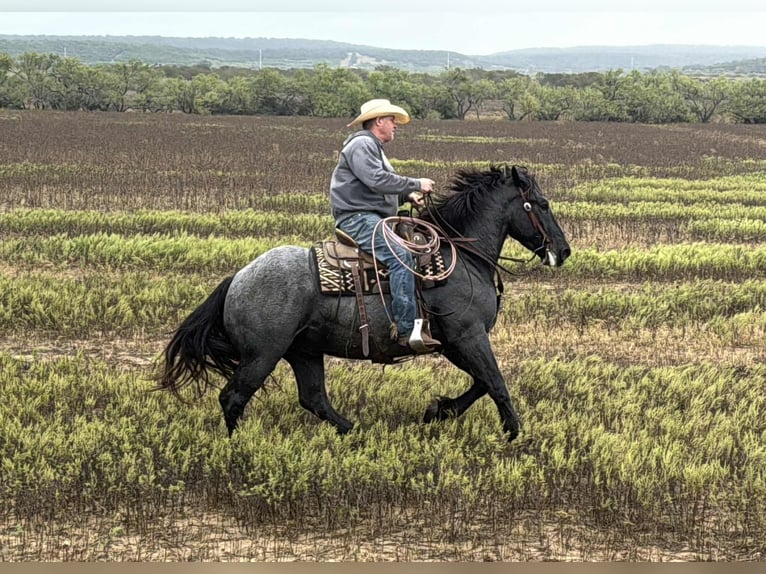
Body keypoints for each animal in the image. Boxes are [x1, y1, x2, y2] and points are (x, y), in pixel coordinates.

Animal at [156, 164, 571, 442]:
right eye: (541, 203)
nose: (563, 251)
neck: (460, 257)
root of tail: (237, 279)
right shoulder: (467, 336)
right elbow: (495, 381)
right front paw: (514, 433)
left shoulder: (453, 343)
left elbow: (482, 382)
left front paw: (439, 410)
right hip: (263, 355)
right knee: (233, 397)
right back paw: (237, 446)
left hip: (303, 352)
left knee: (313, 399)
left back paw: (353, 431)